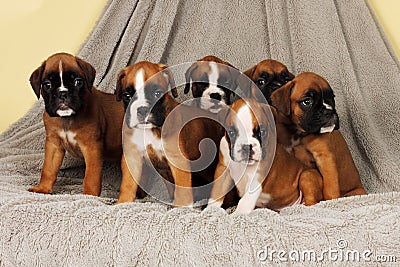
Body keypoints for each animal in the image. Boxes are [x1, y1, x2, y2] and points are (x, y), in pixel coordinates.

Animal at [27, 53, 123, 197]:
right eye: (47, 84)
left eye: (77, 82)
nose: (62, 93)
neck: (67, 118)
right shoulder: (54, 145)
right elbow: (48, 169)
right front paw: (43, 188)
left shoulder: (91, 148)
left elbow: (91, 176)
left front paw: (89, 195)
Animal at [115, 61, 228, 207]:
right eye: (127, 96)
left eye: (157, 93)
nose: (143, 110)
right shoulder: (132, 157)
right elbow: (127, 184)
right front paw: (123, 202)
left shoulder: (177, 160)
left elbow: (182, 190)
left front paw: (181, 208)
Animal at [270, 72, 368, 200]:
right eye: (307, 101)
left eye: (331, 98)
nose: (329, 111)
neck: (298, 132)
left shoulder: (324, 157)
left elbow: (330, 185)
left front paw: (331, 200)